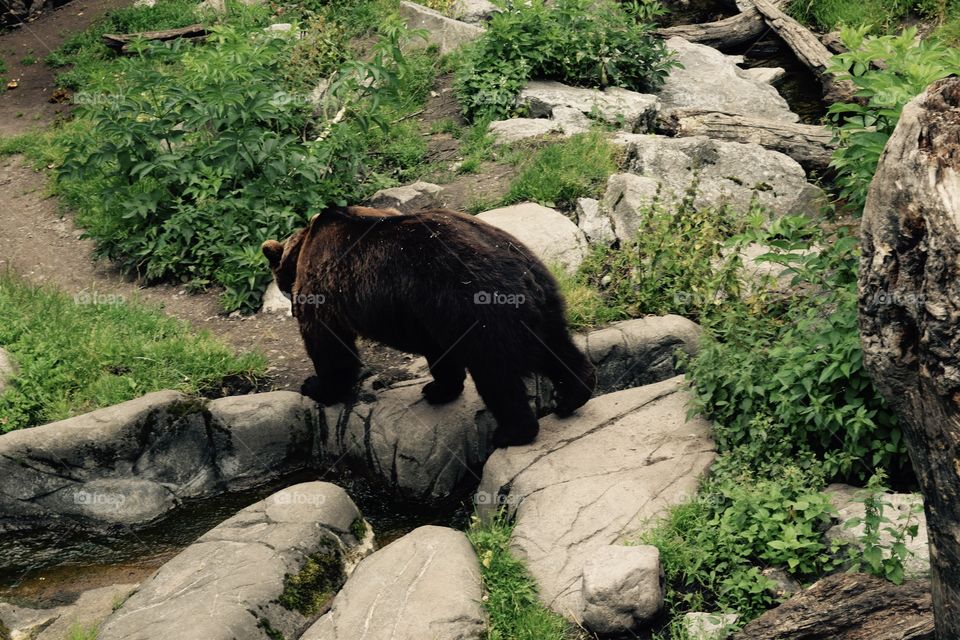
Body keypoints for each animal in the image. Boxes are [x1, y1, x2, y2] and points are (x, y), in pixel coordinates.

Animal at [261, 204, 596, 447]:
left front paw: (316, 385)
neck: (305, 246)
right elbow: (439, 353)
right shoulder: (423, 313)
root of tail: (520, 270)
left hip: (478, 305)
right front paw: (438, 388)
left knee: (495, 373)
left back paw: (510, 433)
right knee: (555, 346)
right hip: (539, 296)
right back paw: (573, 393)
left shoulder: (325, 288)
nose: (287, 300)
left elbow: (328, 345)